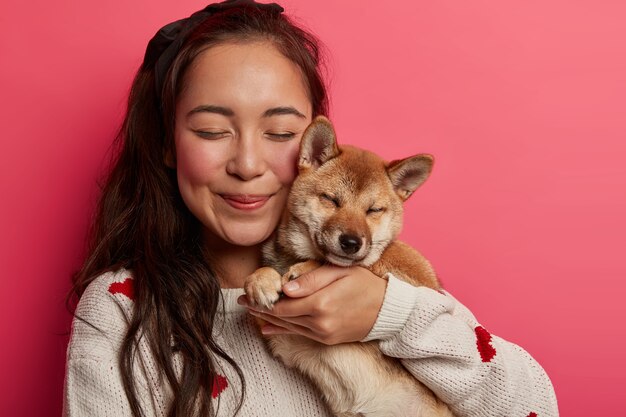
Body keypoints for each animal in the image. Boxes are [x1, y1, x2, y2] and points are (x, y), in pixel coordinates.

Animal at [241, 114, 450, 416]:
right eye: (331, 199)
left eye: (374, 210)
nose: (351, 242)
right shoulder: (284, 337)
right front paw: (260, 280)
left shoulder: (417, 275)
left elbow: (366, 262)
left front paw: (305, 269)